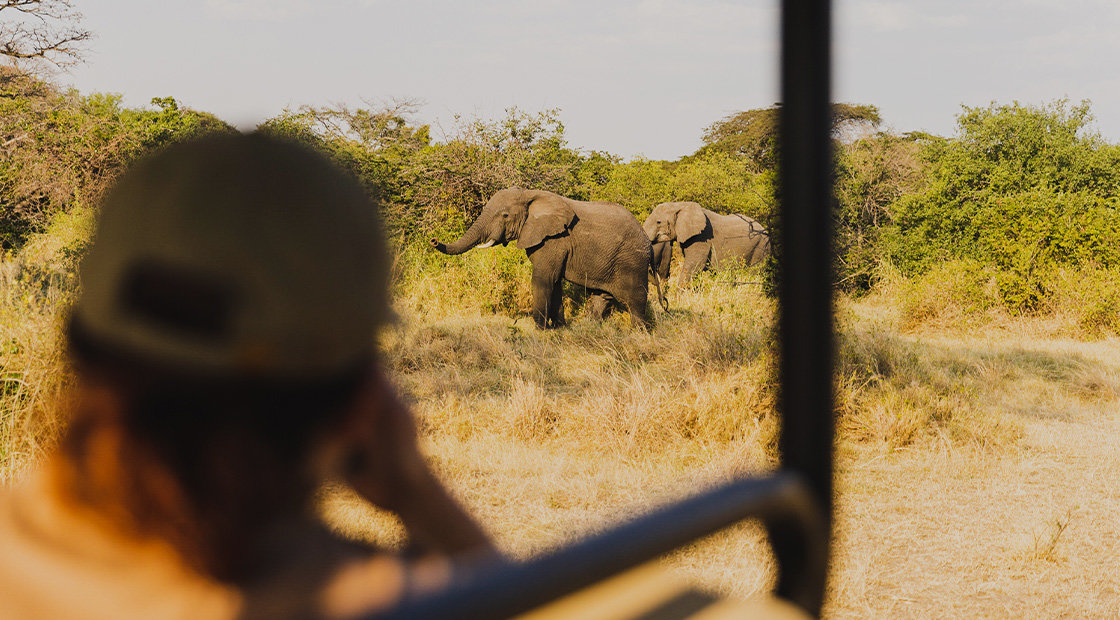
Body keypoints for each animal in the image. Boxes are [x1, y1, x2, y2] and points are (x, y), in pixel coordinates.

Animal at [423, 188, 658, 329]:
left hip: (632, 261)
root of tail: (648, 242)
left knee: (636, 300)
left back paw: (641, 333)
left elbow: (543, 279)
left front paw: (540, 329)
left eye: (505, 215)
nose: (433, 239)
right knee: (601, 297)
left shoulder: (554, 240)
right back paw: (591, 327)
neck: (531, 195)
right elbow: (555, 282)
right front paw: (559, 327)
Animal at [640, 201, 770, 283]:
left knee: (754, 273)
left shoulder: (702, 238)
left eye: (658, 222)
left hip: (760, 247)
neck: (680, 205)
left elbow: (693, 267)